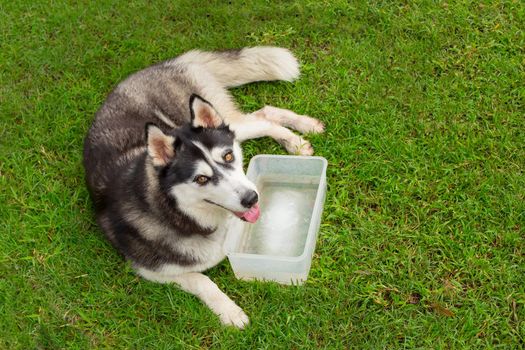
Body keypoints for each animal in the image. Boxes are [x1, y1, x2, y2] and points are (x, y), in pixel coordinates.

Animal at [83, 46, 322, 328]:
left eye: (228, 156)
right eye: (201, 179)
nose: (252, 198)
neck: (183, 216)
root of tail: (163, 65)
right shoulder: (150, 269)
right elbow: (201, 279)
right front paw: (229, 311)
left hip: (227, 125)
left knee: (263, 118)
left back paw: (298, 137)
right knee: (263, 113)